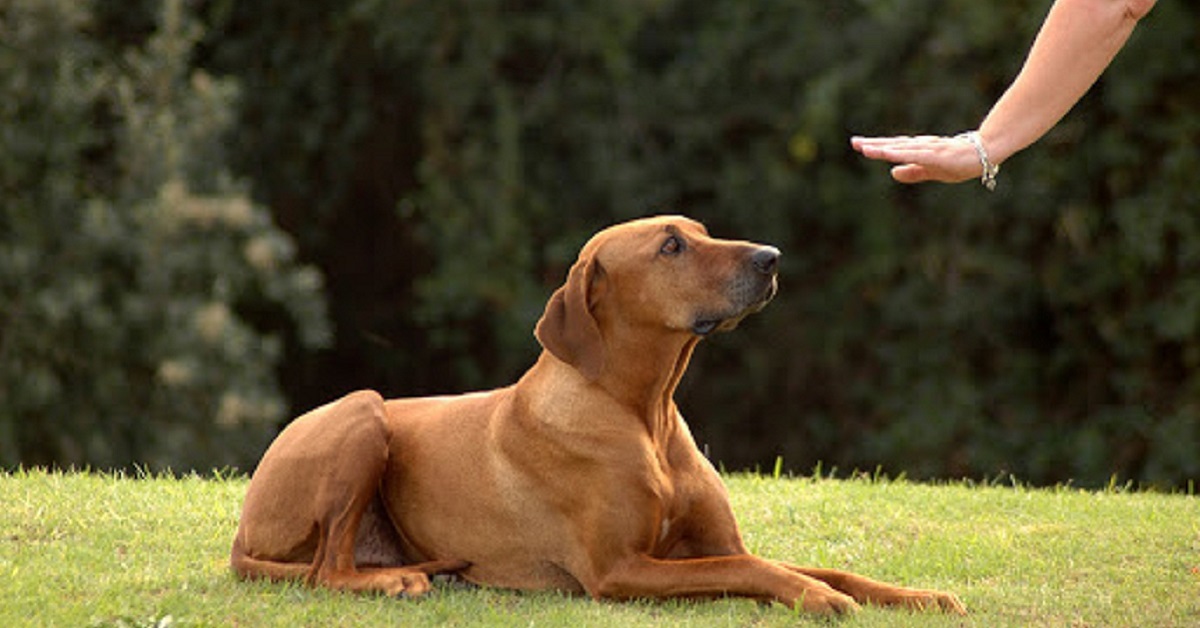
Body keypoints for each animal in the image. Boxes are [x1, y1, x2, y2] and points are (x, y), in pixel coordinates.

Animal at [231, 214, 964, 614]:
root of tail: (242, 531)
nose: (771, 257)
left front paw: (918, 597)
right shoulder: (619, 570)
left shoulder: (717, 543)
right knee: (326, 570)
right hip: (363, 412)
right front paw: (819, 600)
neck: (644, 412)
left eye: (701, 233)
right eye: (671, 247)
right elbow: (755, 571)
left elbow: (817, 566)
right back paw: (396, 582)